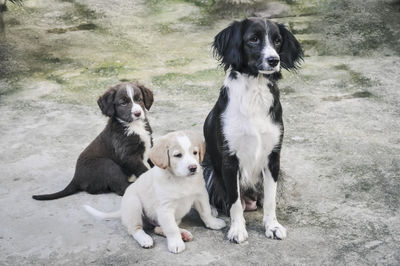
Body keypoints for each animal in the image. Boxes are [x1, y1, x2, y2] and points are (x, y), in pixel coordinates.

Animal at [83, 131, 225, 254]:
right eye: (178, 155)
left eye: (195, 153)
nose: (193, 168)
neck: (181, 180)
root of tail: (122, 211)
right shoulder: (165, 208)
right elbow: (171, 229)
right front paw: (176, 243)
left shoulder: (201, 195)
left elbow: (206, 212)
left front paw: (213, 223)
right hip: (134, 205)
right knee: (135, 229)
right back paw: (145, 239)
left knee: (158, 228)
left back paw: (183, 234)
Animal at [203, 17, 304, 243]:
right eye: (253, 39)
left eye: (277, 40)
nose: (274, 60)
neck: (255, 91)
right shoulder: (230, 160)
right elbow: (234, 202)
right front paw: (237, 230)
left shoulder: (273, 158)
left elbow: (270, 200)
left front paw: (272, 226)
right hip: (205, 168)